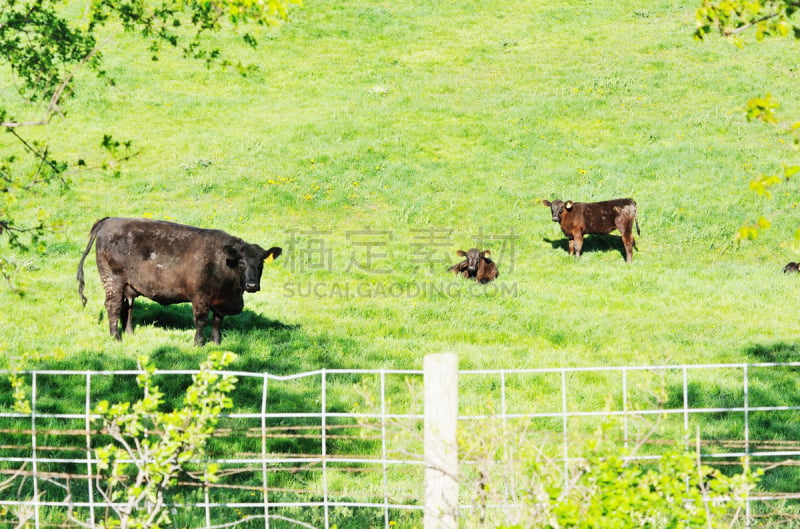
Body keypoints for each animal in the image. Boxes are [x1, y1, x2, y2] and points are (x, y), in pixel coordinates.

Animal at [76, 217, 282, 344]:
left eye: (261, 263)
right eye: (241, 262)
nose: (252, 285)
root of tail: (110, 220)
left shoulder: (220, 300)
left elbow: (217, 321)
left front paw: (216, 343)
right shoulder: (200, 297)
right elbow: (201, 321)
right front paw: (198, 344)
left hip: (128, 285)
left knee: (127, 307)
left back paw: (129, 333)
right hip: (112, 280)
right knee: (113, 306)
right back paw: (116, 337)